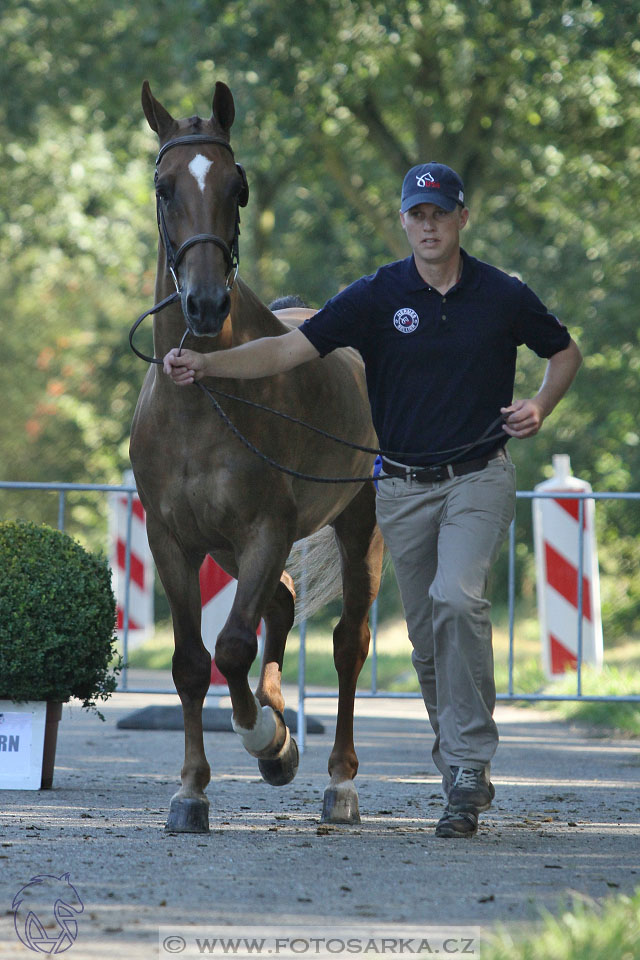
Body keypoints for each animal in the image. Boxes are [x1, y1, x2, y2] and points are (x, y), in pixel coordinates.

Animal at [127, 82, 382, 832]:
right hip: (231, 549)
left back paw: (338, 781)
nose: (205, 303)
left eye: (237, 188)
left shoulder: (266, 528)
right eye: (164, 187)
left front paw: (269, 738)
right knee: (283, 606)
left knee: (347, 642)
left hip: (358, 527)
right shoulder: (174, 540)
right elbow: (191, 662)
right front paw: (191, 791)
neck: (201, 396)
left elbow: (232, 647)